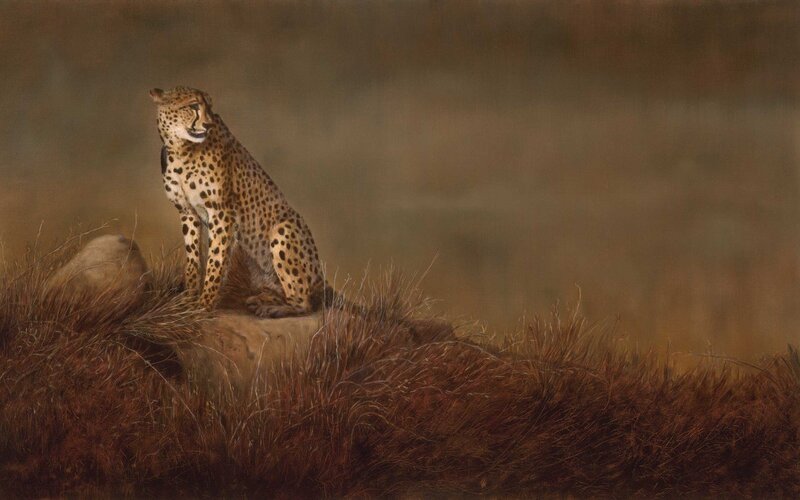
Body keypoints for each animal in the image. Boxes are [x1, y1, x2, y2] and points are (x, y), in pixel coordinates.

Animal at [150, 86, 327, 318]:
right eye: (193, 105)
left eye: (209, 106)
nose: (208, 124)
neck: (181, 149)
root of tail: (321, 281)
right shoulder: (188, 212)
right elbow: (193, 258)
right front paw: (187, 299)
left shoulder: (222, 213)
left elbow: (215, 261)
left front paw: (203, 305)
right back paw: (260, 298)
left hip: (283, 229)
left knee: (303, 302)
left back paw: (272, 308)